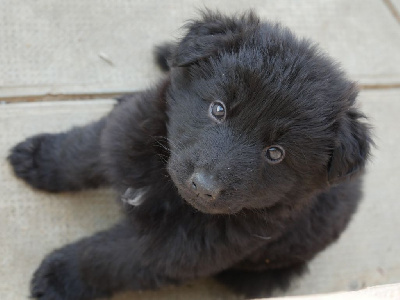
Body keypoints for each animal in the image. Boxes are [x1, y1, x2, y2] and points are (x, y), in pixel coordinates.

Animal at [8, 10, 372, 300]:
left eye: (275, 153)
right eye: (218, 109)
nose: (204, 186)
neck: (166, 184)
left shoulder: (173, 249)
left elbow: (106, 258)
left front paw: (59, 277)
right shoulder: (129, 128)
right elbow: (83, 149)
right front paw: (40, 158)